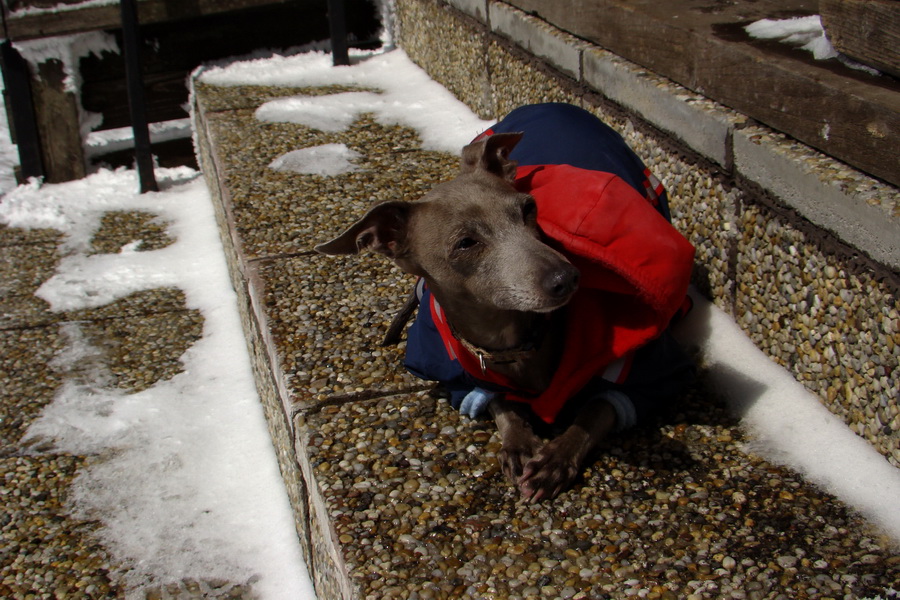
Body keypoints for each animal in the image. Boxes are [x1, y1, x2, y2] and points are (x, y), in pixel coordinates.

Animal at [316, 103, 696, 502]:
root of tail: (552, 104)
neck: (511, 340)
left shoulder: (650, 372)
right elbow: (497, 399)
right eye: (465, 243)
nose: (567, 278)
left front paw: (556, 458)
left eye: (529, 208)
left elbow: (597, 408)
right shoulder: (458, 373)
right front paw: (518, 440)